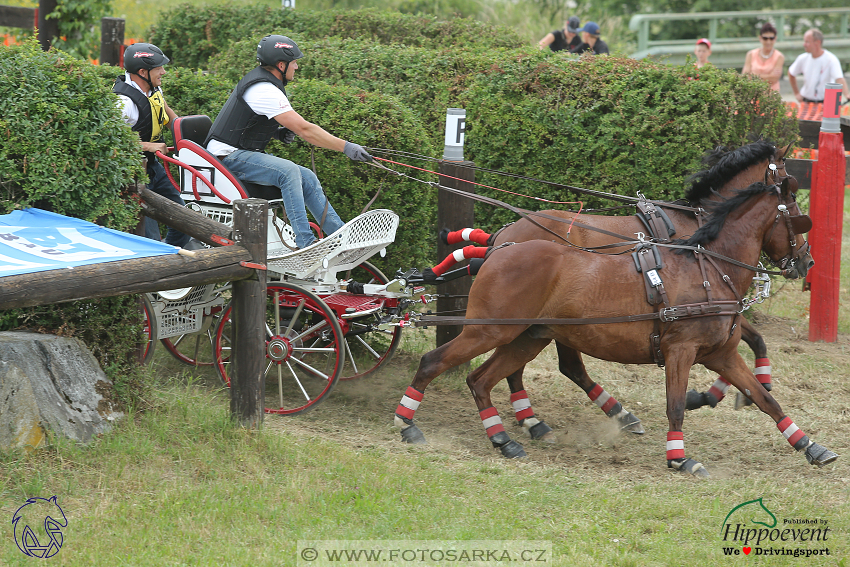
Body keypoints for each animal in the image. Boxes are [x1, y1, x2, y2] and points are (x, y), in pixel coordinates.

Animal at [398, 181, 836, 474]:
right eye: (798, 218)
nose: (807, 262)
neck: (708, 268)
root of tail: (499, 246)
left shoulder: (722, 354)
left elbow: (766, 399)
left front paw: (809, 445)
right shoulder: (681, 351)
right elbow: (676, 406)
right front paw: (679, 458)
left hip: (525, 338)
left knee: (482, 379)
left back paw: (504, 438)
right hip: (487, 330)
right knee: (435, 362)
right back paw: (408, 423)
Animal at [430, 140, 808, 442]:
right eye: (789, 188)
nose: (806, 261)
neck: (698, 225)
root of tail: (504, 235)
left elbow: (753, 340)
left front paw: (743, 389)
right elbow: (752, 338)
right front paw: (714, 394)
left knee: (548, 366)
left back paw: (541, 419)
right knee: (555, 367)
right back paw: (554, 419)